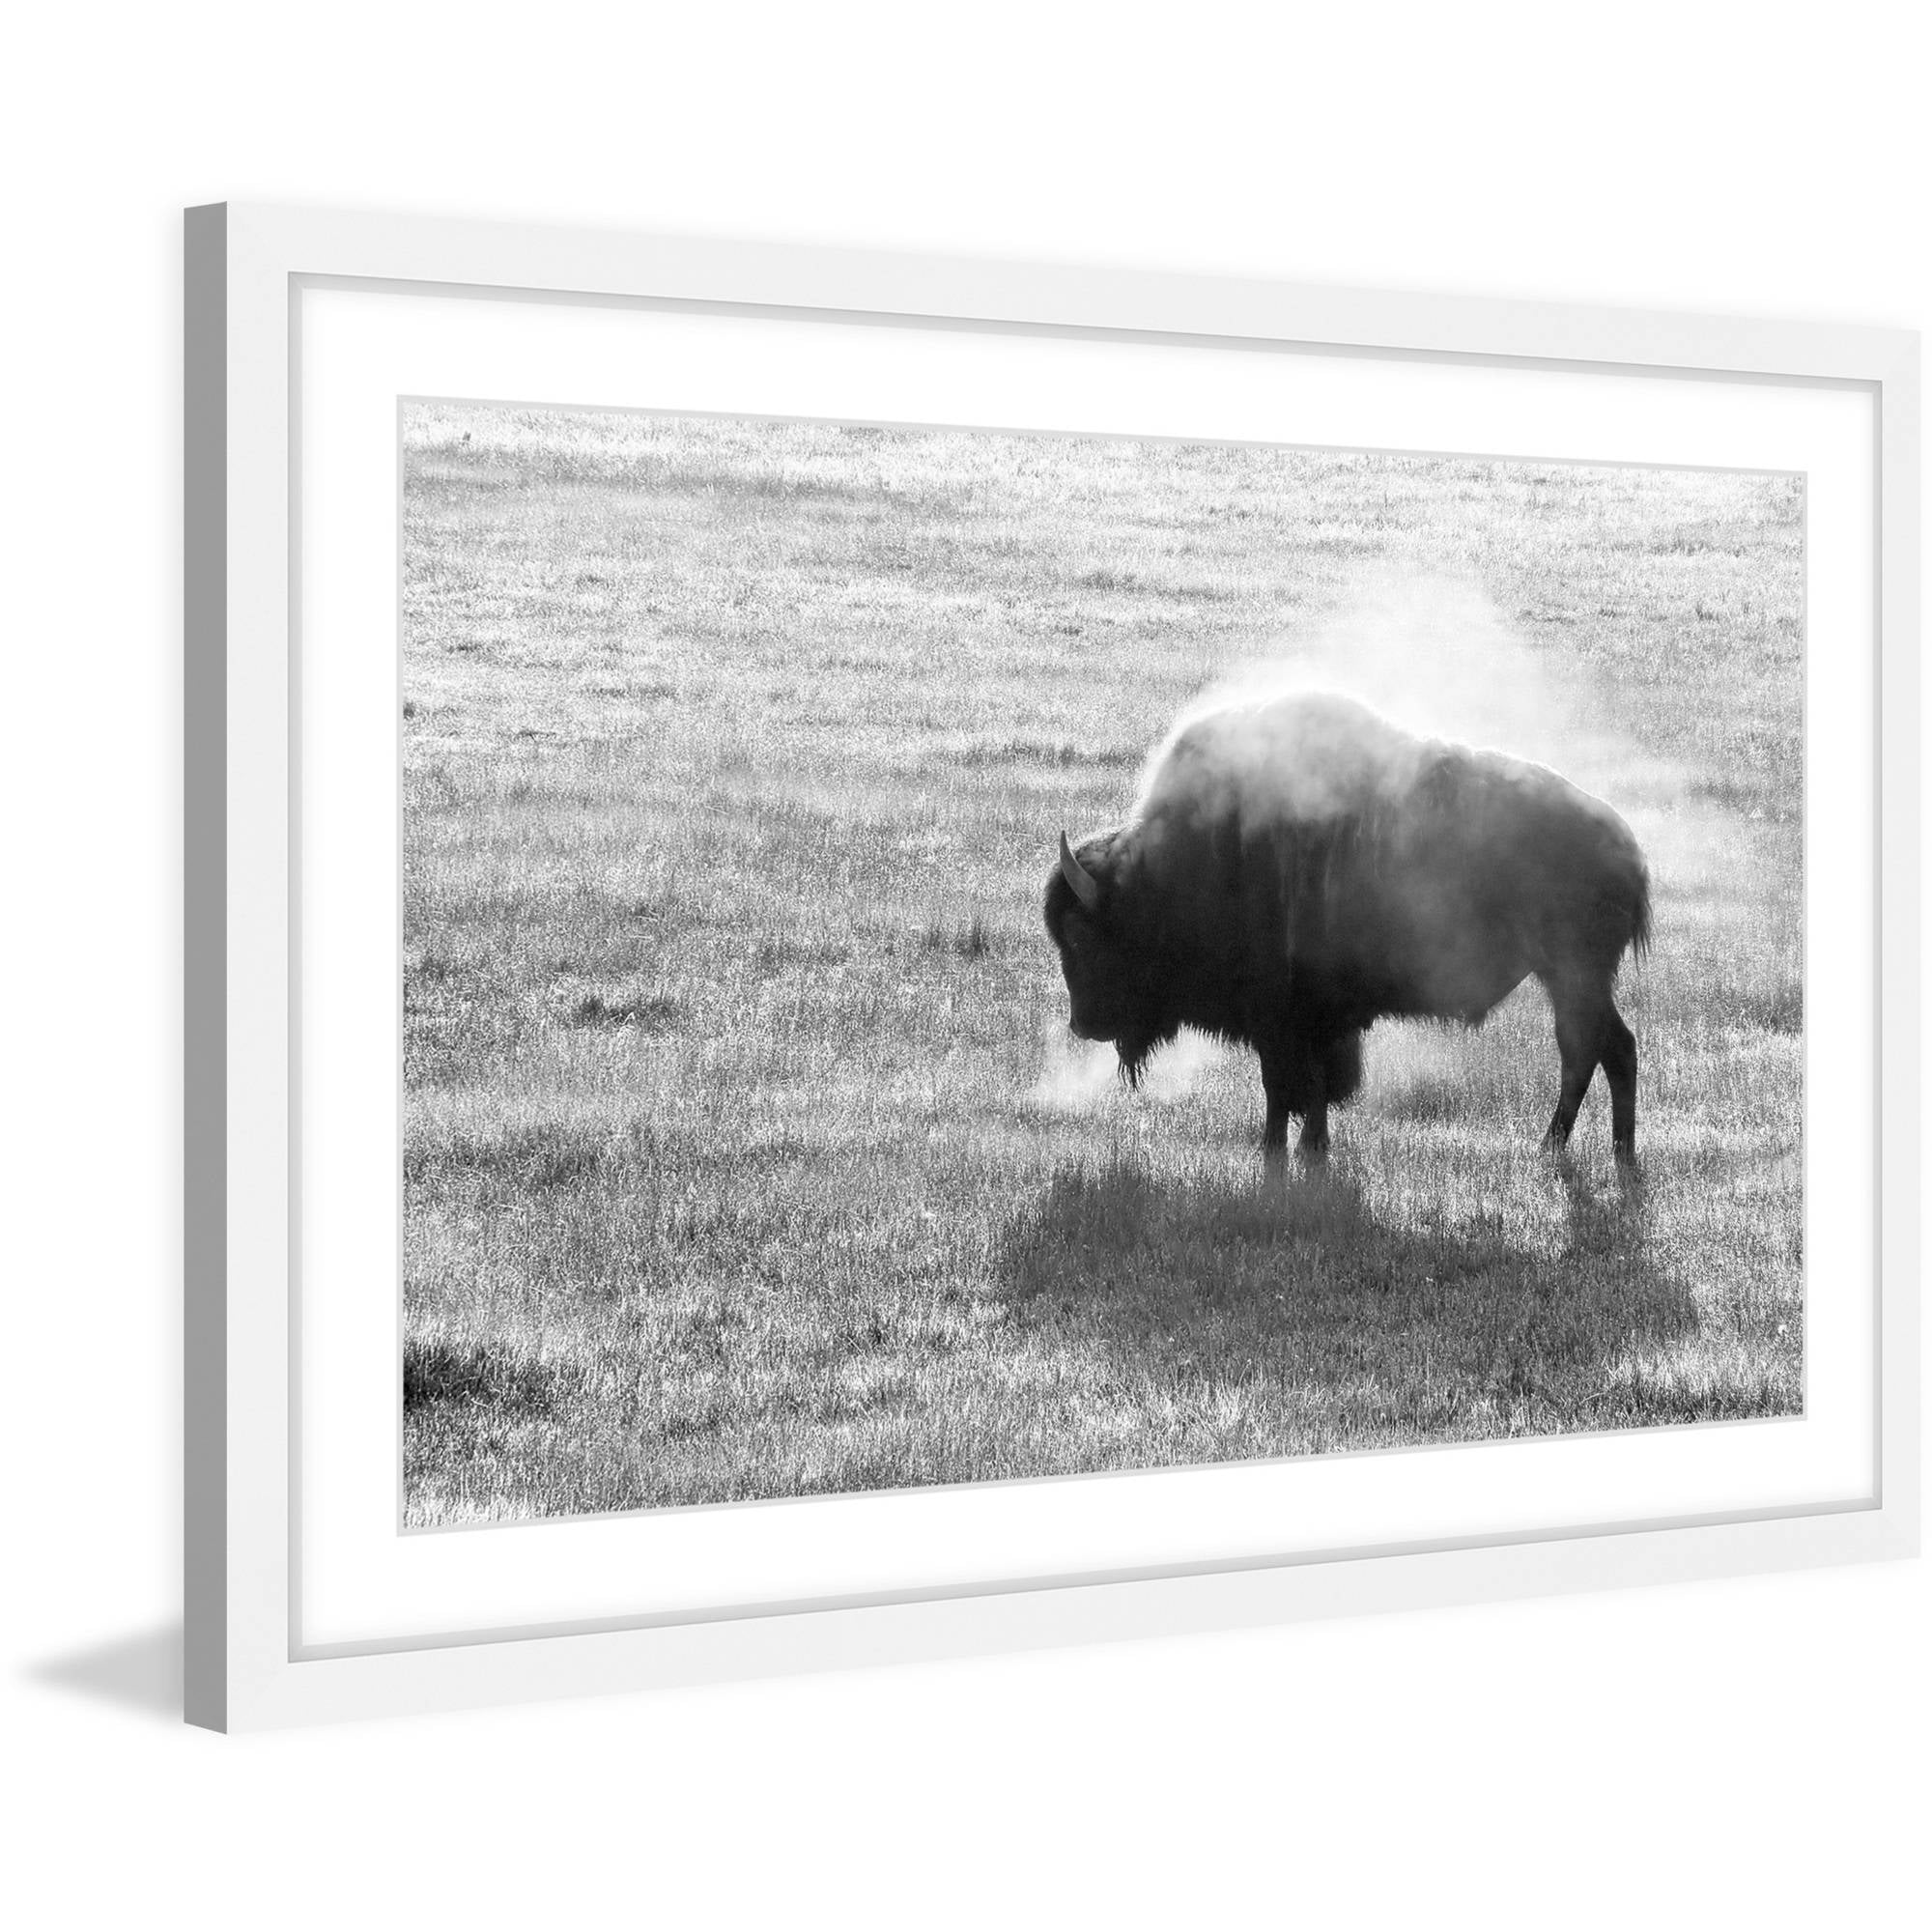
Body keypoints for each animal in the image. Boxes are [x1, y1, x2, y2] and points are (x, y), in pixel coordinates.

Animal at [1044, 690, 1651, 1163]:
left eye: (1079, 935)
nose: (1081, 1024)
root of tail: (1627, 849)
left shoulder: (1287, 1020)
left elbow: (1288, 1085)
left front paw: (1284, 1152)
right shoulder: (1311, 1022)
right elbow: (1305, 1088)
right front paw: (1303, 1147)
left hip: (1574, 976)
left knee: (1590, 1050)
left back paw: (1565, 1149)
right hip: (1574, 980)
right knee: (1607, 1049)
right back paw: (1604, 1151)